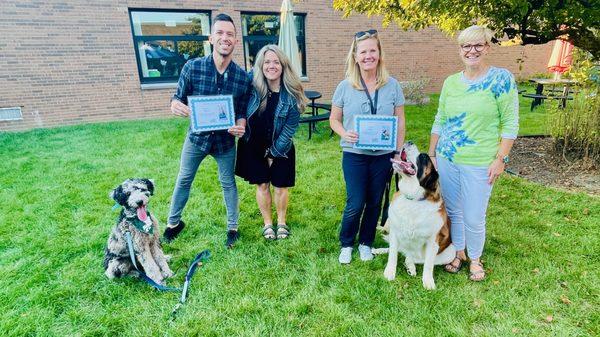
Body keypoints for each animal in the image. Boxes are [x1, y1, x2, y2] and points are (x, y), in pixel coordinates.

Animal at [380, 142, 454, 288]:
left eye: (423, 157)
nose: (409, 142)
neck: (413, 200)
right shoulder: (395, 232)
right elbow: (393, 255)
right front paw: (389, 272)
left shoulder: (433, 241)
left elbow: (429, 264)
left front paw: (428, 281)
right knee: (402, 251)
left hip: (451, 252)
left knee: (416, 259)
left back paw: (411, 265)